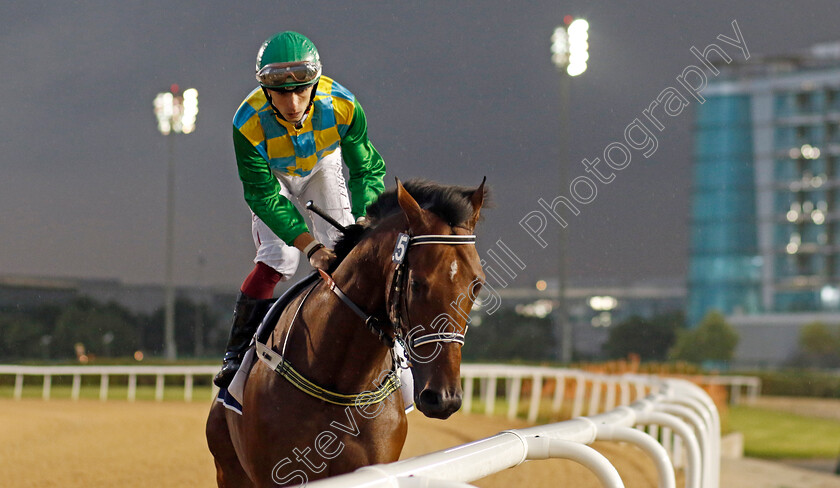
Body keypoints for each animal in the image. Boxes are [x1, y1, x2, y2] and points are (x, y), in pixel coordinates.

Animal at [206, 177, 488, 486]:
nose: (444, 398)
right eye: (417, 284)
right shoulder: (279, 474)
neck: (342, 382)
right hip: (228, 468)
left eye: (478, 285)